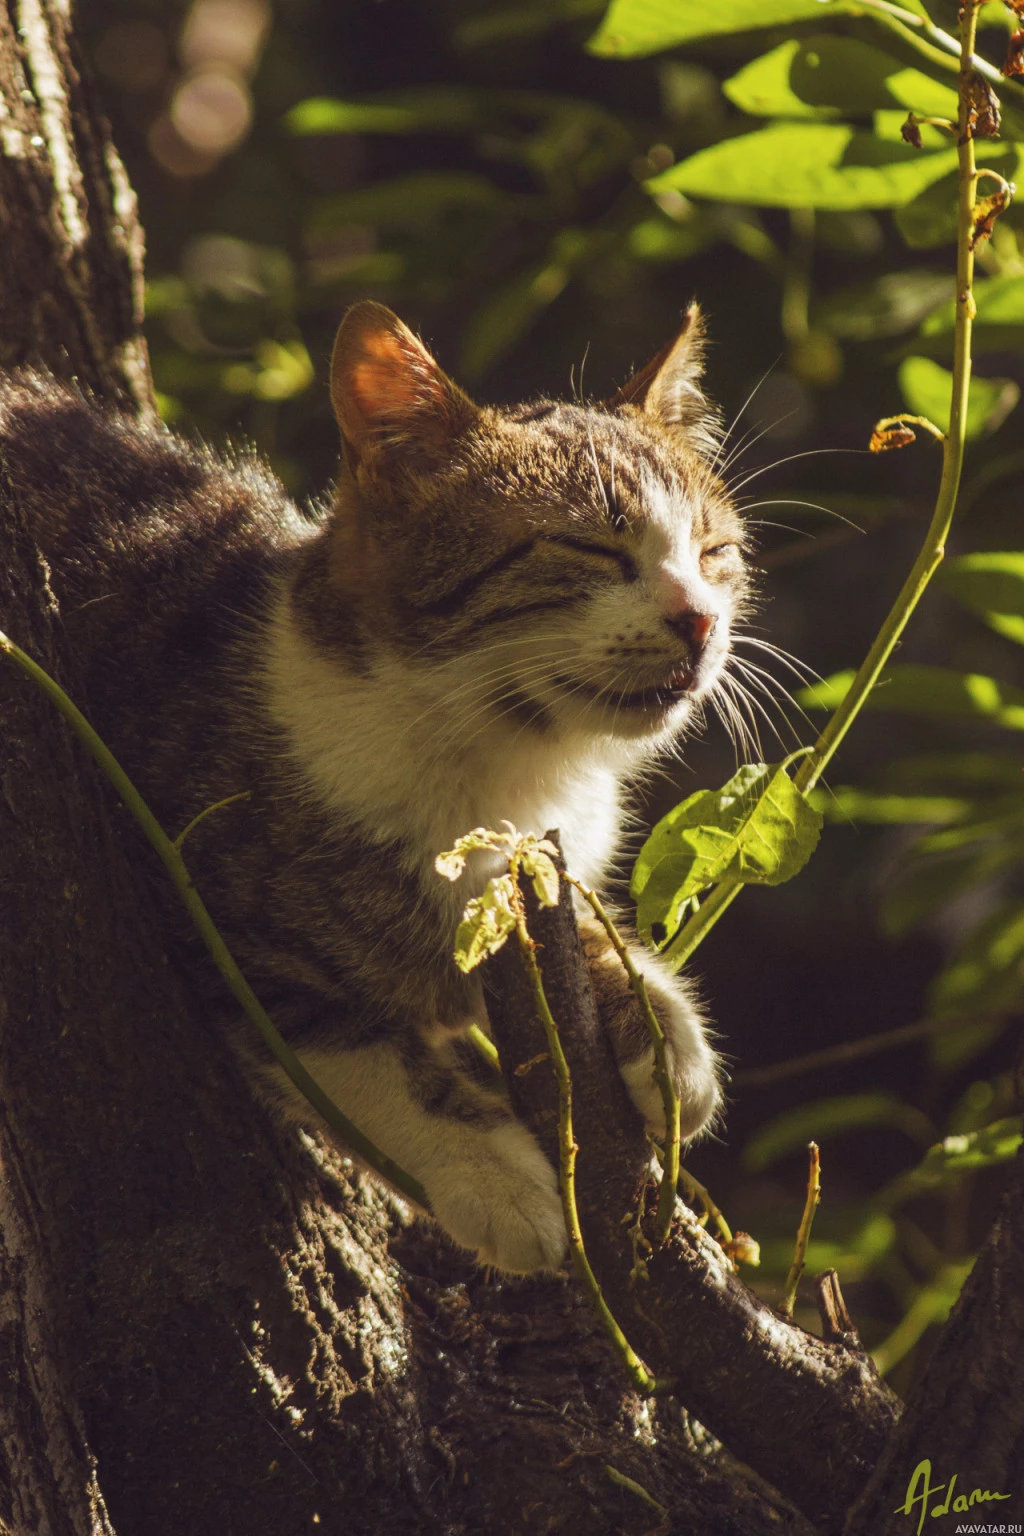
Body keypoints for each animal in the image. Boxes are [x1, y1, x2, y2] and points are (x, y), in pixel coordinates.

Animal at [0, 299, 752, 1271]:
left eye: (715, 552)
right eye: (589, 546)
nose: (700, 620)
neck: (506, 763)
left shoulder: (537, 869)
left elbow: (573, 921)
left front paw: (664, 1037)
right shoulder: (209, 917)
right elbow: (362, 1054)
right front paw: (497, 1177)